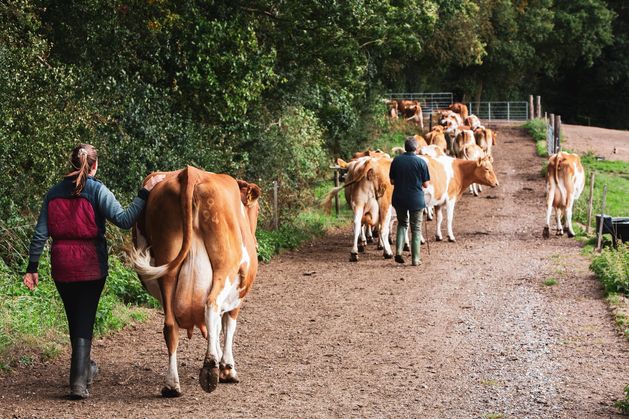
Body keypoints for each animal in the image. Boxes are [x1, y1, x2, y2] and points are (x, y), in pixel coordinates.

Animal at [129, 167, 260, 398]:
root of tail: (190, 173)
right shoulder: (238, 296)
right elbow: (228, 325)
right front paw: (227, 368)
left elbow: (216, 327)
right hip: (225, 266)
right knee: (211, 305)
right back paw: (209, 368)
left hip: (167, 267)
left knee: (170, 326)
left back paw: (172, 385)